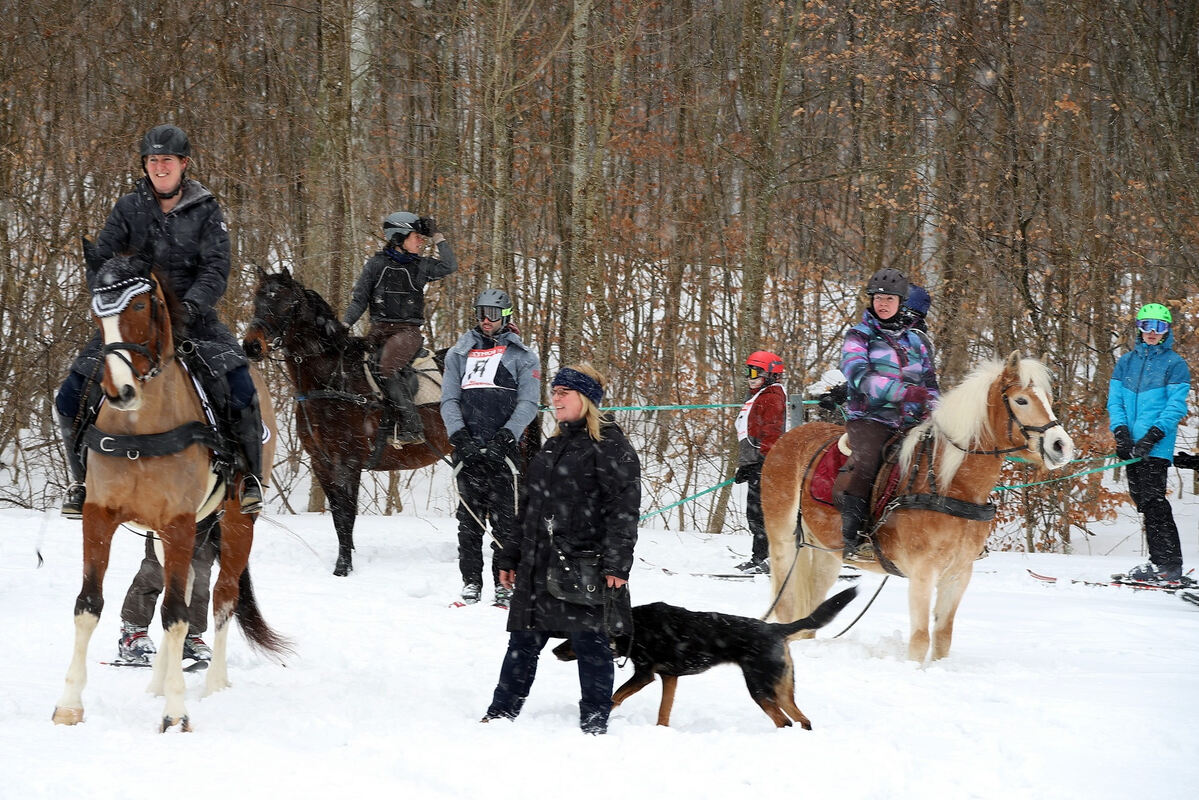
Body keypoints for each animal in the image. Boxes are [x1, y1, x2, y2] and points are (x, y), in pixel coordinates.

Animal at [53, 248, 292, 734]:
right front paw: (69, 705)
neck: (140, 428)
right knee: (176, 588)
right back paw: (158, 682)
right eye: (97, 312)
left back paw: (214, 682)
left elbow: (180, 616)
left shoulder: (179, 521)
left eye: (142, 305)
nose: (120, 391)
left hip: (236, 523)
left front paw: (176, 714)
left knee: (221, 597)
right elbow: (89, 605)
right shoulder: (99, 516)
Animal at [242, 268, 453, 575]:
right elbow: (338, 515)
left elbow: (346, 514)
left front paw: (343, 567)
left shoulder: (348, 461)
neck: (332, 380)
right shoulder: (321, 462)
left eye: (287, 304)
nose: (252, 346)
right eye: (257, 299)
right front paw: (347, 559)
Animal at [551, 585, 853, 729]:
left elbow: (615, 697)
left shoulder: (645, 674)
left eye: (574, 635)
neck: (631, 627)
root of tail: (776, 628)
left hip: (759, 687)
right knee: (802, 720)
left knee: (786, 721)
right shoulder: (668, 677)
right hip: (780, 688)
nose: (554, 651)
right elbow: (663, 712)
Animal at [762, 350, 1083, 662]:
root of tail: (788, 438)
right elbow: (919, 641)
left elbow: (942, 639)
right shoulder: (922, 573)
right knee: (785, 604)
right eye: (1021, 400)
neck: (949, 486)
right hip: (783, 542)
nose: (1062, 446)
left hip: (825, 552)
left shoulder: (958, 574)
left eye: (1048, 399)